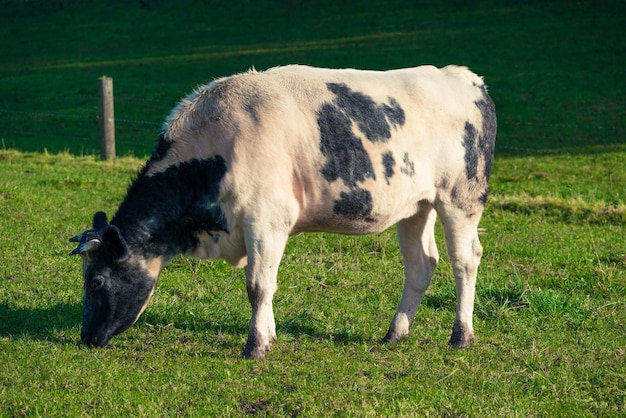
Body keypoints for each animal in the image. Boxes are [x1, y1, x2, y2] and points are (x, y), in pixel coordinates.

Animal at [68, 63, 494, 358]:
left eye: (96, 281)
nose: (86, 337)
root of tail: (463, 76)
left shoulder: (265, 221)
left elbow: (258, 286)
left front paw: (255, 346)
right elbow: (267, 286)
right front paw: (269, 336)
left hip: (460, 199)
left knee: (464, 260)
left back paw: (461, 336)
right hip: (416, 207)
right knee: (421, 264)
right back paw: (395, 332)